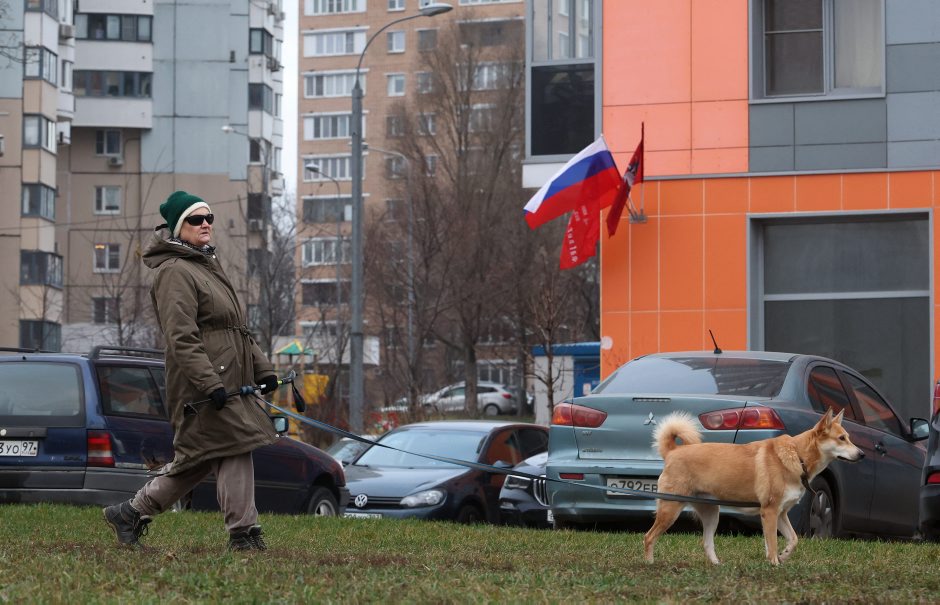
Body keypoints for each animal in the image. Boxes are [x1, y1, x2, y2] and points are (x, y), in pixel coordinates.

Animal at [643, 408, 863, 566]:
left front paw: (783, 556)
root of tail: (673, 451)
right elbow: (772, 543)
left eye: (848, 437)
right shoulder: (770, 512)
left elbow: (793, 540)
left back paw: (717, 565)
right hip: (671, 509)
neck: (797, 455)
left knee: (706, 542)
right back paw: (650, 563)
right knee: (648, 537)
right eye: (841, 438)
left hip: (712, 514)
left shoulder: (781, 514)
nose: (862, 454)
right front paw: (774, 563)